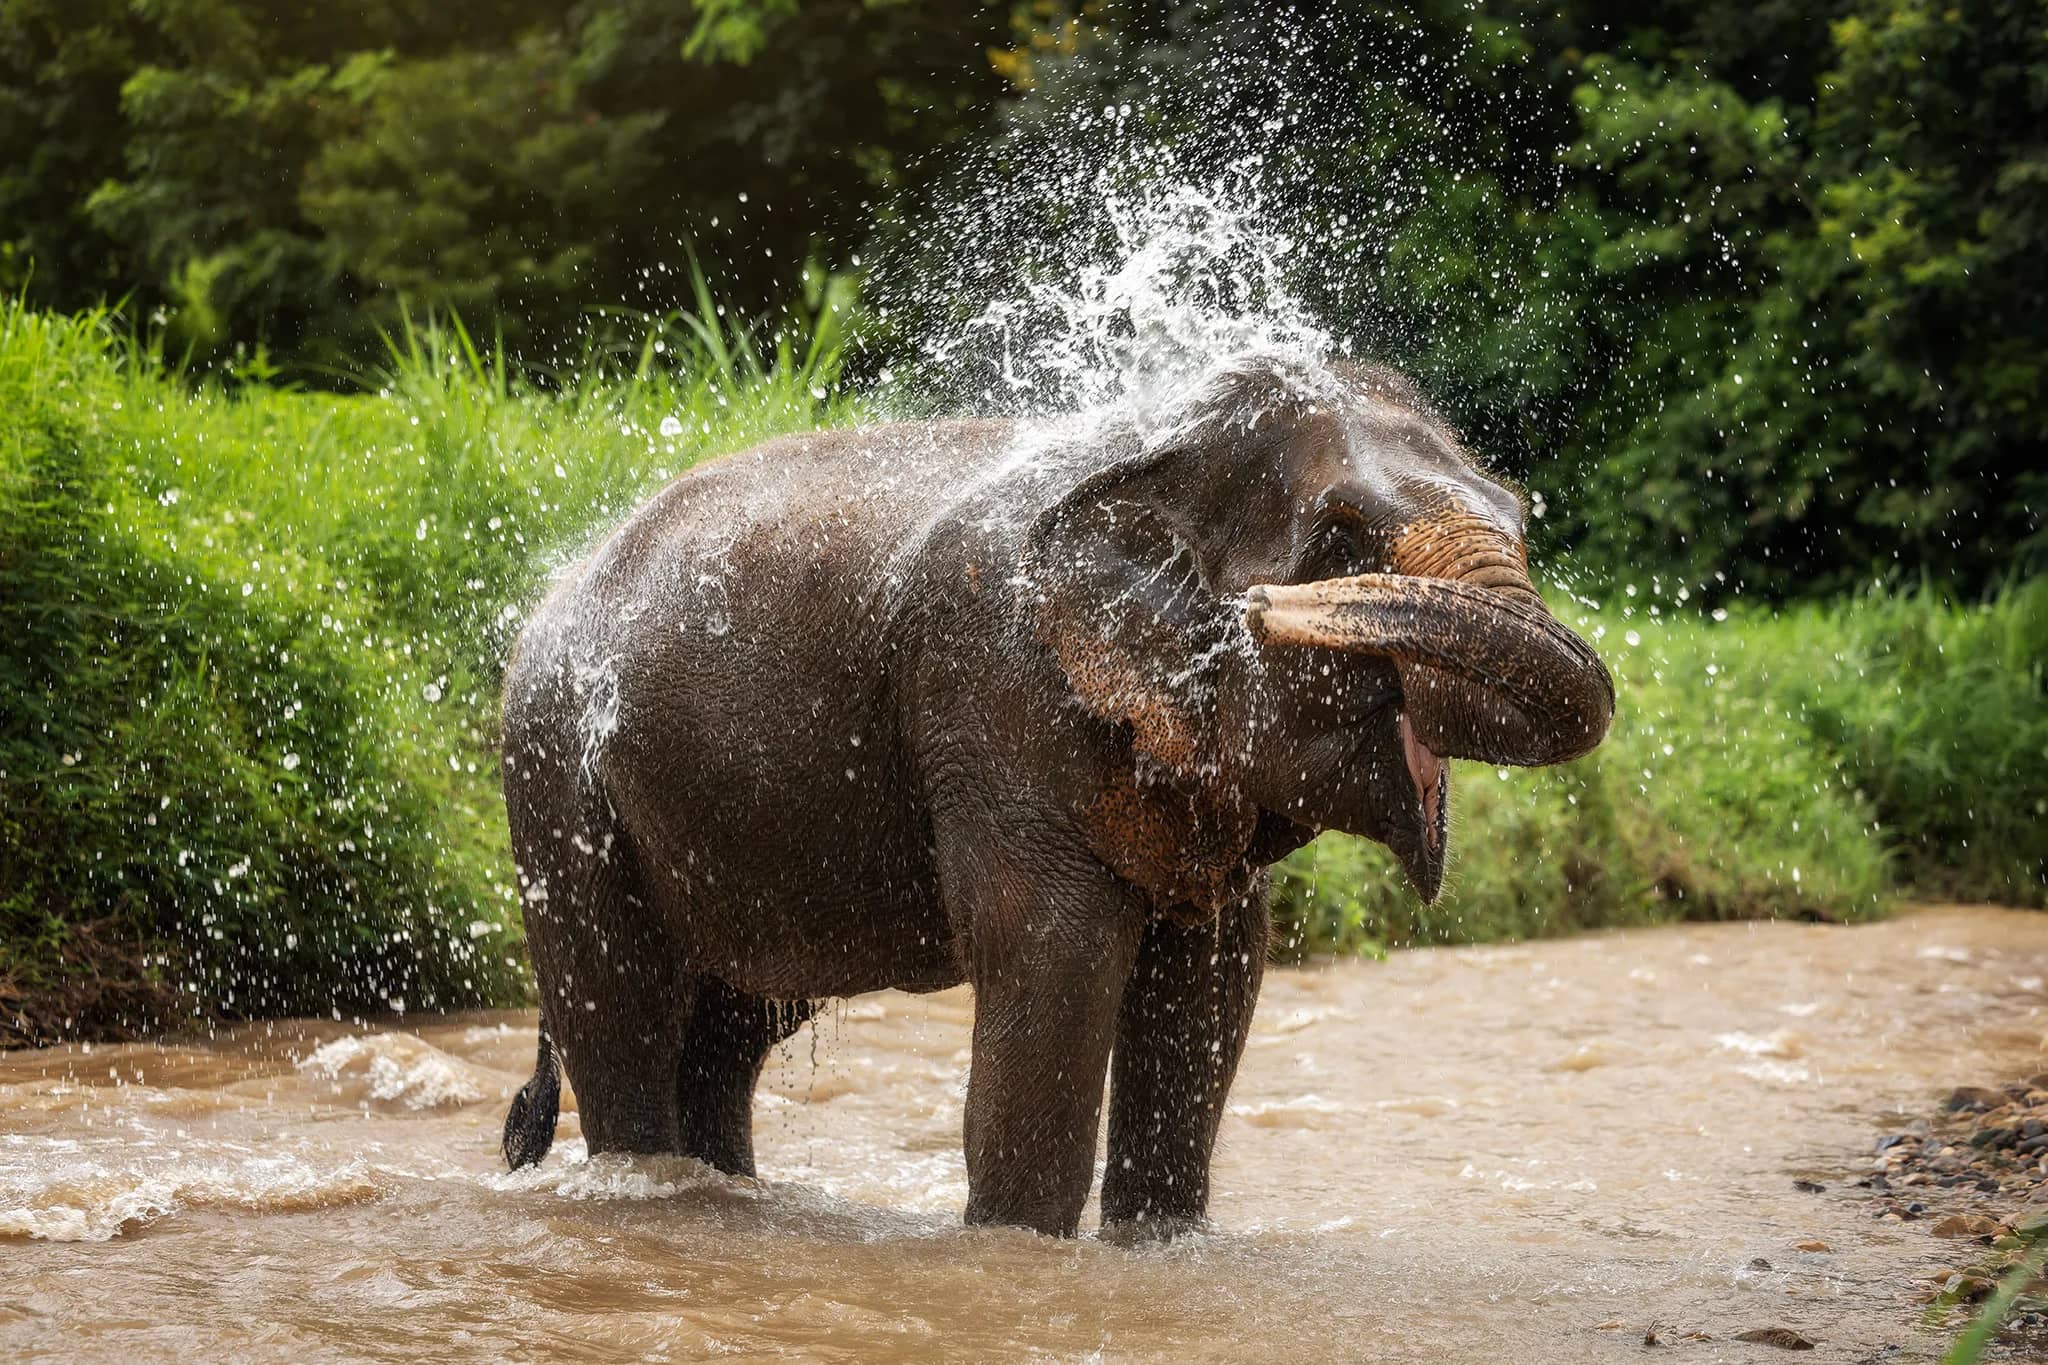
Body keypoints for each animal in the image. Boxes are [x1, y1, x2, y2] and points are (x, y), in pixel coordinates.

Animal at [497, 355, 1613, 1238]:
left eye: (1518, 513)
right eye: (1342, 536)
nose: (1265, 606)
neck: (1166, 443)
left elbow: (1213, 982)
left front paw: (1157, 1249)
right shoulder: (996, 697)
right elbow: (1054, 958)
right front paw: (1017, 1250)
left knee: (728, 1033)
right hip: (556, 780)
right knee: (623, 1012)